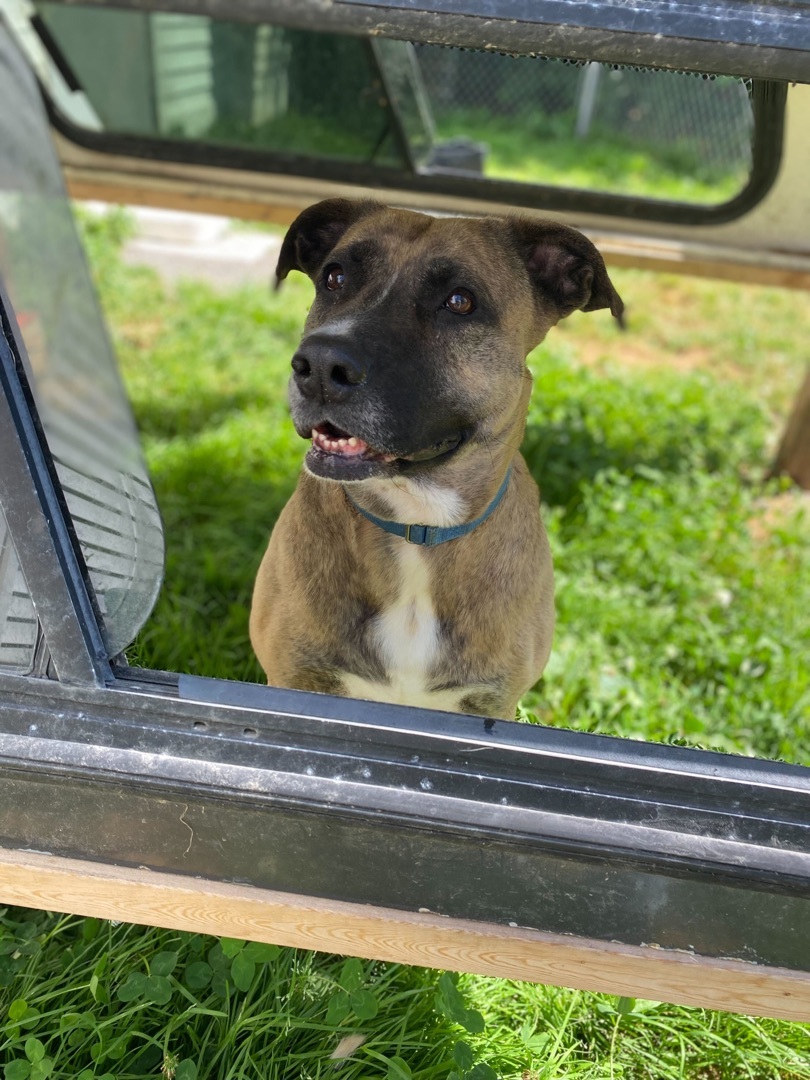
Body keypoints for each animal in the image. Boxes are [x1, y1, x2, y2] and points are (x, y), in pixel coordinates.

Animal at [250, 201, 626, 717]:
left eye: (460, 301)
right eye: (334, 277)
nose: (320, 367)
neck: (417, 526)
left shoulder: (492, 703)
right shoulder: (293, 678)